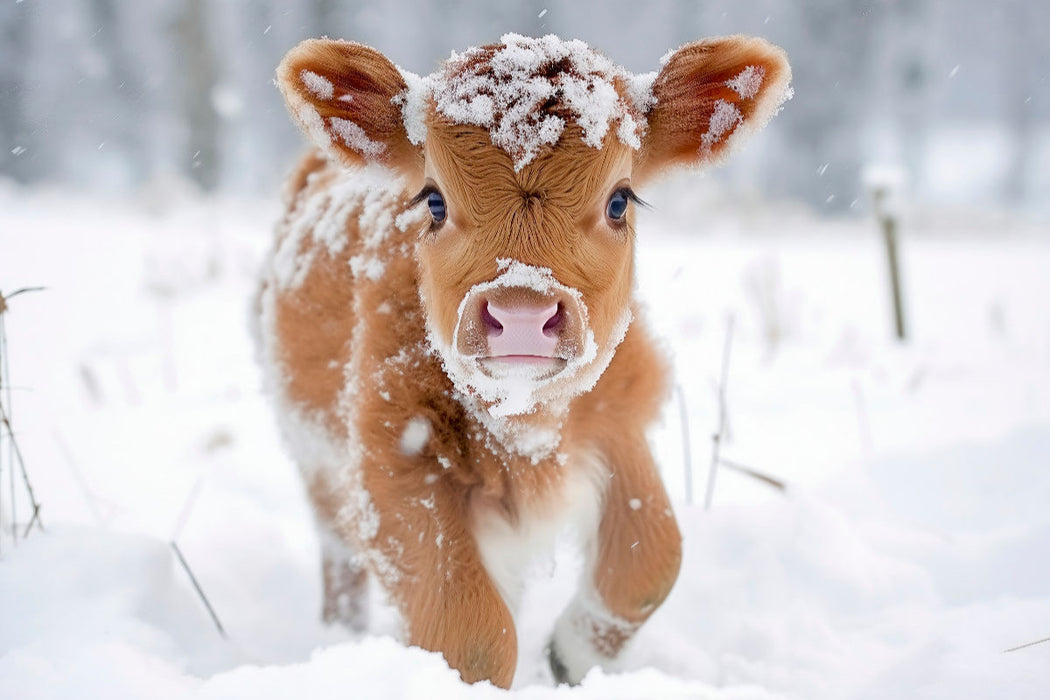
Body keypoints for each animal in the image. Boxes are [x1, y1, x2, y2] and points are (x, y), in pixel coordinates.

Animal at [258, 34, 789, 688]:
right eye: (433, 201)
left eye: (620, 200)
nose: (520, 313)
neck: (525, 426)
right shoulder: (391, 459)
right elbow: (473, 635)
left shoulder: (618, 418)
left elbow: (652, 557)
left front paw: (571, 656)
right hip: (314, 456)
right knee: (338, 556)